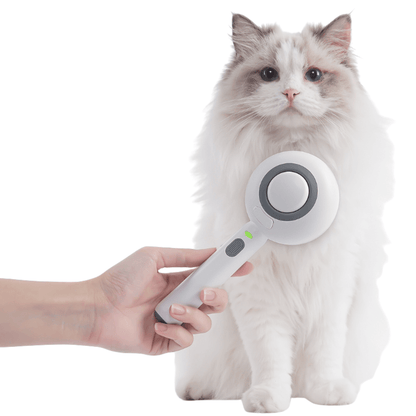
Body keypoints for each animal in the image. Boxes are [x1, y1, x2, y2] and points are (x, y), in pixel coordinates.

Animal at [175, 13, 394, 412]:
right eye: (269, 75)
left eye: (313, 75)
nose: (291, 93)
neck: (293, 149)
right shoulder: (257, 295)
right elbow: (270, 357)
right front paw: (268, 398)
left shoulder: (333, 287)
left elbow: (325, 351)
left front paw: (327, 392)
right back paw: (200, 391)